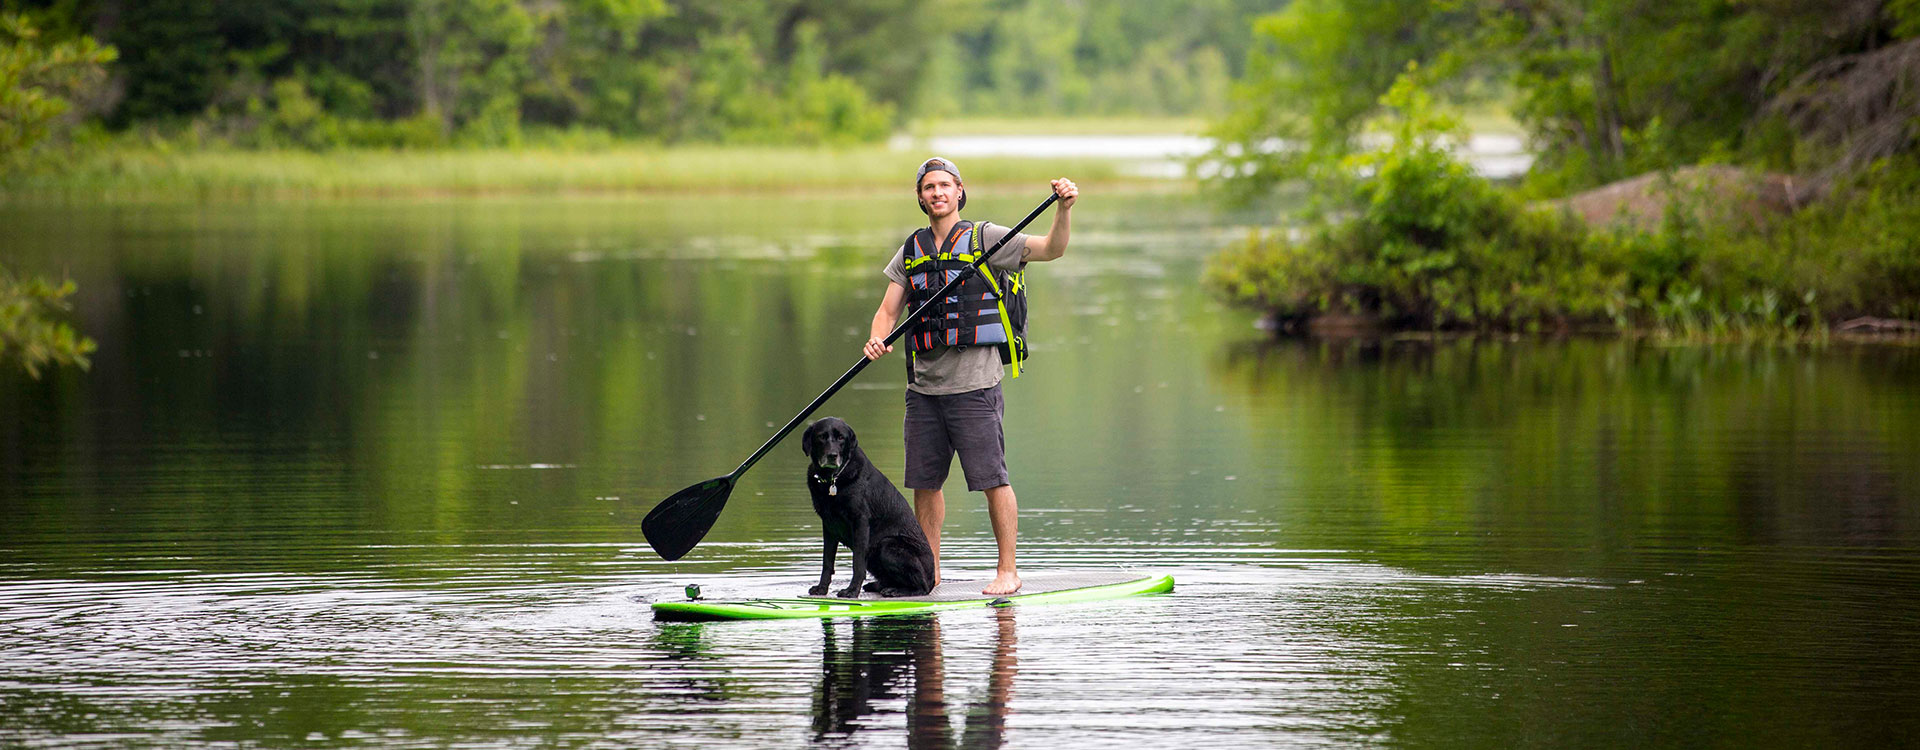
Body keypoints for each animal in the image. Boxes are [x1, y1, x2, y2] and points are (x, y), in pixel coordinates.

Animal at [802, 416, 936, 598]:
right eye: (821, 436)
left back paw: (896, 591)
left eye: (841, 438)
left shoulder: (860, 522)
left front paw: (851, 591)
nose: (832, 456)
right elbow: (827, 562)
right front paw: (821, 588)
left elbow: (858, 563)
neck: (832, 480)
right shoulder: (829, 525)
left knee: (922, 587)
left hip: (888, 546)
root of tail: (933, 578)